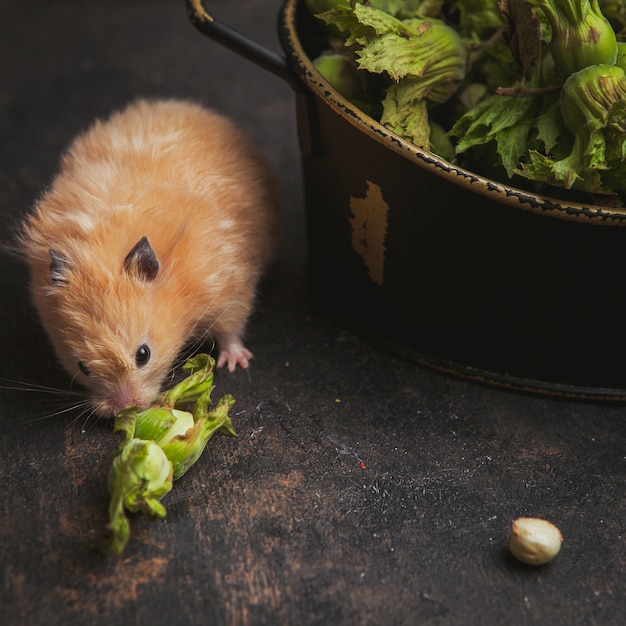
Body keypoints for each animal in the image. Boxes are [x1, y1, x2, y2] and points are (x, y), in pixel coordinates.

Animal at [18, 98, 276, 414]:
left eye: (143, 354)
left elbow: (231, 327)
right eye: (82, 367)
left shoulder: (229, 285)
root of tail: (179, 105)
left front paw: (236, 363)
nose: (124, 407)